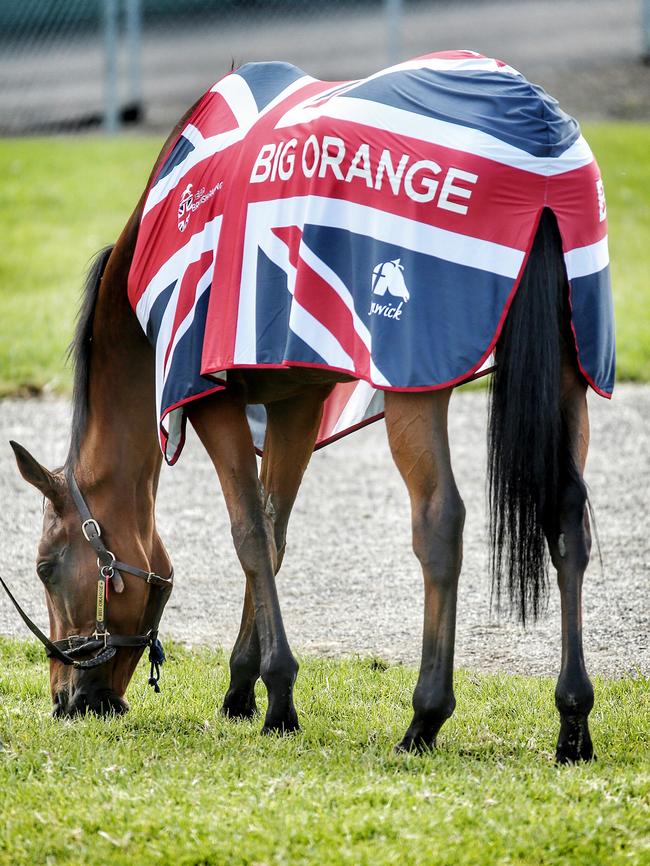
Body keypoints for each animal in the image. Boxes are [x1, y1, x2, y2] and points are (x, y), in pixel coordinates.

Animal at [7, 52, 612, 764]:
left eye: (45, 568)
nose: (66, 699)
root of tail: (534, 131)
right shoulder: (297, 401)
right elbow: (275, 531)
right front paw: (243, 687)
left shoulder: (212, 400)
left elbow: (248, 533)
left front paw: (279, 697)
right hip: (570, 375)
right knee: (566, 519)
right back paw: (573, 720)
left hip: (415, 386)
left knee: (441, 521)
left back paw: (425, 716)